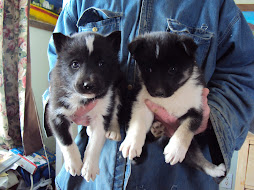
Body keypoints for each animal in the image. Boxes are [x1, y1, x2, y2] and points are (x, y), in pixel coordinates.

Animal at [48, 30, 122, 181]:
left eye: (101, 63)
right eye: (75, 64)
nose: (88, 85)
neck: (82, 98)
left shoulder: (102, 113)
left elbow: (95, 143)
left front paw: (89, 168)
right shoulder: (56, 113)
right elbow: (65, 141)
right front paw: (74, 164)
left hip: (117, 84)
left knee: (115, 107)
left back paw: (114, 129)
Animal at [120, 31, 225, 178]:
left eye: (173, 69)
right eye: (148, 69)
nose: (158, 93)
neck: (172, 97)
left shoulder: (197, 110)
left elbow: (185, 129)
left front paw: (175, 150)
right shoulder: (142, 104)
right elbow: (138, 124)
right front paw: (132, 144)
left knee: (196, 159)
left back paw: (216, 170)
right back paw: (156, 129)